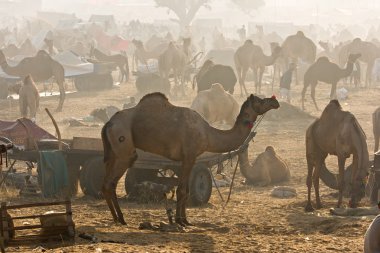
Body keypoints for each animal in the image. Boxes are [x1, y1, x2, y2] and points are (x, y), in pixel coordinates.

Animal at [101, 92, 280, 225]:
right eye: (260, 100)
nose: (275, 101)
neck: (207, 133)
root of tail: (108, 123)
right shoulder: (190, 156)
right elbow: (183, 190)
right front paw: (181, 221)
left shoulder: (186, 159)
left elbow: (184, 190)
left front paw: (185, 220)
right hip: (124, 149)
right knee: (110, 182)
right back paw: (121, 218)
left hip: (112, 153)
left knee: (107, 184)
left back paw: (116, 218)